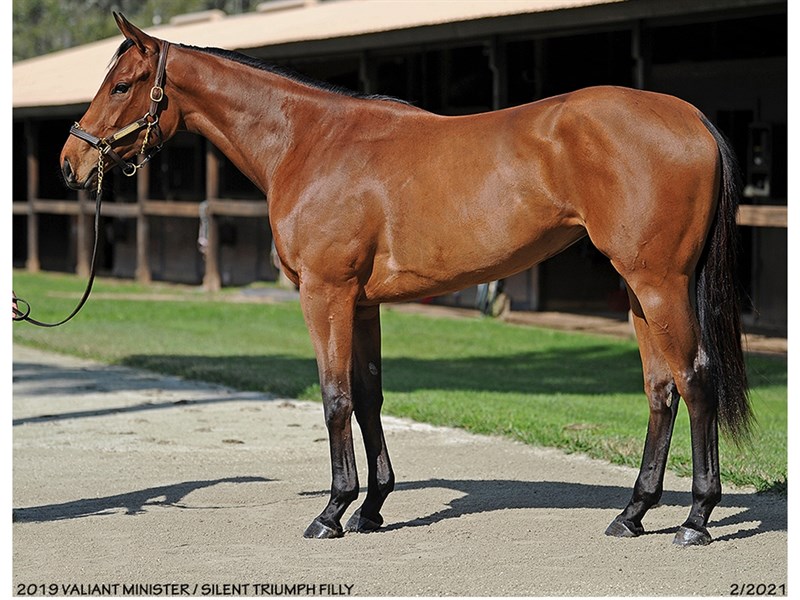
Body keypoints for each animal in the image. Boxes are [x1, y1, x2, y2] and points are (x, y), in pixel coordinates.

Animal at [60, 13, 751, 546]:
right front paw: (371, 508)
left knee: (695, 378)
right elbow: (368, 396)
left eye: (122, 84)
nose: (72, 162)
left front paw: (332, 512)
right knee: (660, 388)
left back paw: (696, 518)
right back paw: (632, 513)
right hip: (637, 290)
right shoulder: (363, 304)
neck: (311, 143)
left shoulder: (325, 295)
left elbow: (334, 397)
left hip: (660, 283)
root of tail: (692, 119)